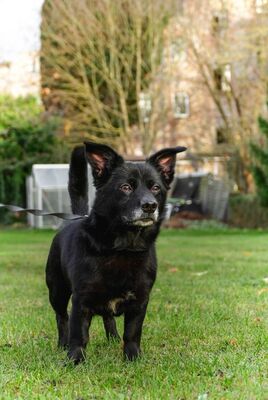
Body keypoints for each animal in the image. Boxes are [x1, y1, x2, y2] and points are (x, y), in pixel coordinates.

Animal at [45, 141, 185, 362]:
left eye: (155, 187)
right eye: (125, 187)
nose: (150, 205)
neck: (124, 247)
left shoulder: (140, 300)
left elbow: (132, 332)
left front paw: (133, 358)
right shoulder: (81, 299)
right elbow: (79, 333)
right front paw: (74, 359)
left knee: (108, 317)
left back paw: (112, 338)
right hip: (57, 290)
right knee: (62, 317)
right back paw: (62, 344)